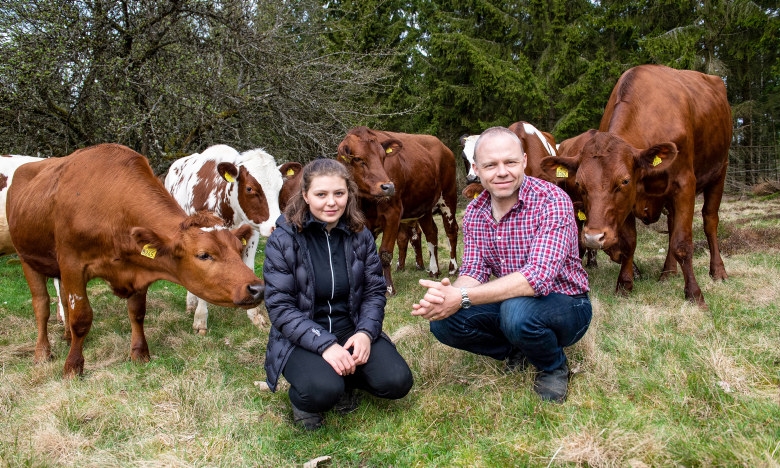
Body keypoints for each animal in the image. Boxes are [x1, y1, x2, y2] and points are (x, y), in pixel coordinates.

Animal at [7, 143, 266, 376]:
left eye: (238, 249)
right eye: (204, 254)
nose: (257, 288)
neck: (110, 207)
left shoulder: (138, 267)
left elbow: (137, 312)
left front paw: (140, 354)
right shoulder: (72, 265)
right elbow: (81, 317)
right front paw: (73, 367)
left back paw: (66, 336)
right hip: (27, 258)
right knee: (41, 306)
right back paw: (42, 352)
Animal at [165, 145, 284, 332]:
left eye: (280, 187)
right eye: (249, 188)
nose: (275, 225)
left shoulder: (251, 234)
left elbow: (249, 268)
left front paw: (255, 315)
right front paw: (200, 319)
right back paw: (191, 304)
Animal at [336, 126, 458, 294]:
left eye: (383, 157)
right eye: (359, 159)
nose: (388, 186)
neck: (366, 201)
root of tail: (442, 146)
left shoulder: (393, 214)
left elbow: (385, 253)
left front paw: (388, 288)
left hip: (448, 196)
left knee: (451, 231)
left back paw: (453, 268)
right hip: (424, 208)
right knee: (431, 233)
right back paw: (434, 270)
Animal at [544, 65, 732, 308]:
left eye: (624, 181)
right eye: (579, 183)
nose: (594, 237)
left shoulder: (684, 185)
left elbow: (682, 244)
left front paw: (694, 294)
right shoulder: (626, 204)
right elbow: (629, 243)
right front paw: (624, 285)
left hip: (720, 171)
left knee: (710, 221)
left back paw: (718, 271)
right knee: (672, 225)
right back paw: (668, 272)